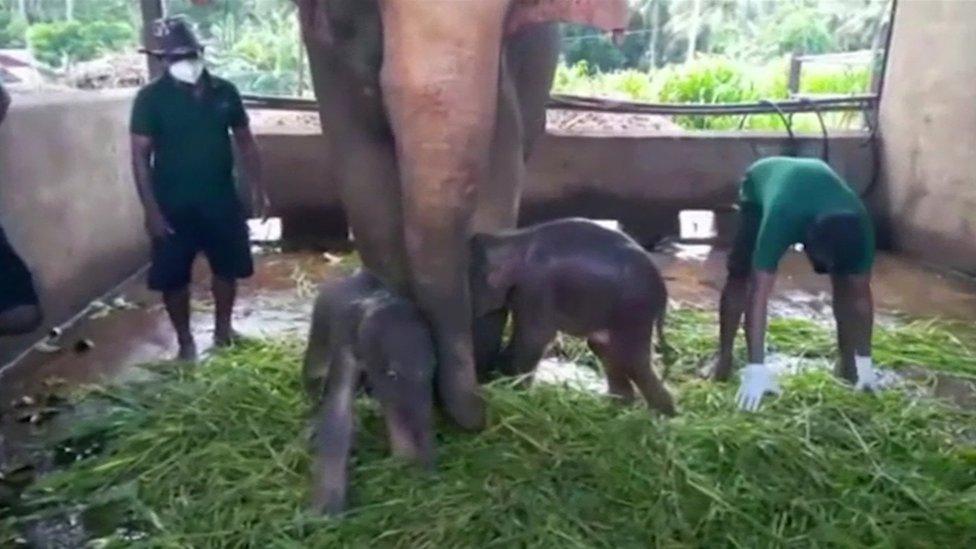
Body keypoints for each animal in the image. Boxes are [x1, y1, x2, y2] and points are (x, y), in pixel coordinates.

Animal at [300, 272, 432, 516]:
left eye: (433, 370)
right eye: (392, 373)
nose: (429, 472)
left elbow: (394, 406)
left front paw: (403, 462)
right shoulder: (346, 340)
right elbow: (338, 409)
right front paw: (326, 510)